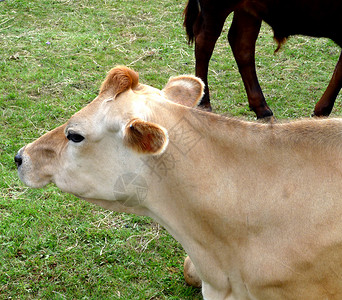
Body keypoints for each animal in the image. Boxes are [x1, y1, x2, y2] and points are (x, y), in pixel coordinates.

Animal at [184, 0, 342, 119]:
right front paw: (321, 113)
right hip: (216, 8)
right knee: (205, 41)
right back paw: (204, 104)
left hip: (247, 10)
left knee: (241, 44)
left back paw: (262, 109)